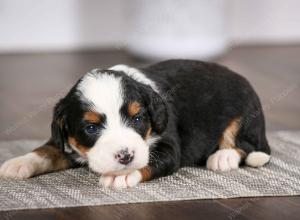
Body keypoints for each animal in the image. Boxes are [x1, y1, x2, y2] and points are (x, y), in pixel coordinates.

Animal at [0, 59, 270, 188]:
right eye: (91, 128)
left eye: (138, 119)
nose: (125, 156)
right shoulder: (65, 140)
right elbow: (48, 149)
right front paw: (19, 163)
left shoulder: (169, 146)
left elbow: (150, 160)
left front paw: (123, 175)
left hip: (244, 112)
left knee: (243, 144)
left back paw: (223, 157)